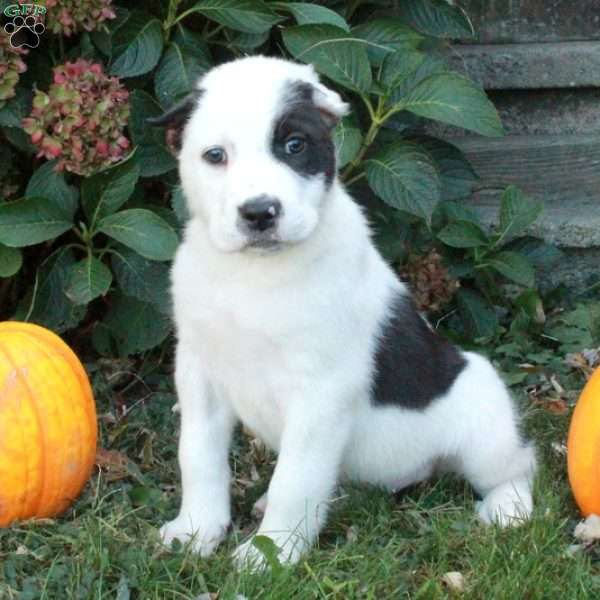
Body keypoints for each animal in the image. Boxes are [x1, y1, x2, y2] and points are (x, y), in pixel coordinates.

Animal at [152, 55, 536, 568]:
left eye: (294, 145)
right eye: (215, 155)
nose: (260, 212)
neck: (255, 274)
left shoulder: (320, 393)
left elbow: (294, 480)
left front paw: (272, 553)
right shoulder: (200, 374)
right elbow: (198, 456)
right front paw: (196, 528)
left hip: (483, 427)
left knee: (519, 465)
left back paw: (508, 507)